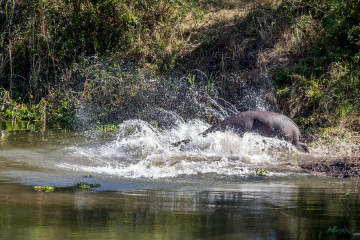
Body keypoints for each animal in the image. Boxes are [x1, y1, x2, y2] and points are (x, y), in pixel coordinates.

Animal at [173, 110, 308, 152]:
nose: (174, 143)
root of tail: (295, 125)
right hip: (293, 139)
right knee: (304, 145)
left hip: (291, 140)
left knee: (299, 147)